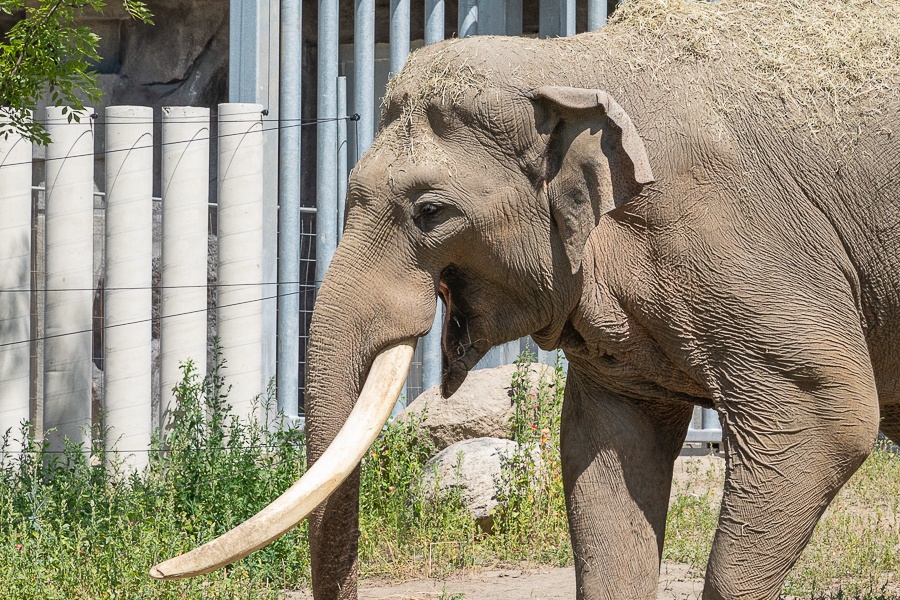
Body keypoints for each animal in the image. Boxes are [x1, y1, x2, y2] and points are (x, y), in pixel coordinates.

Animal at [149, 0, 900, 596]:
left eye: (430, 212)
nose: (157, 572)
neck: (569, 64)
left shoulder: (740, 236)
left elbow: (827, 415)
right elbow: (604, 448)